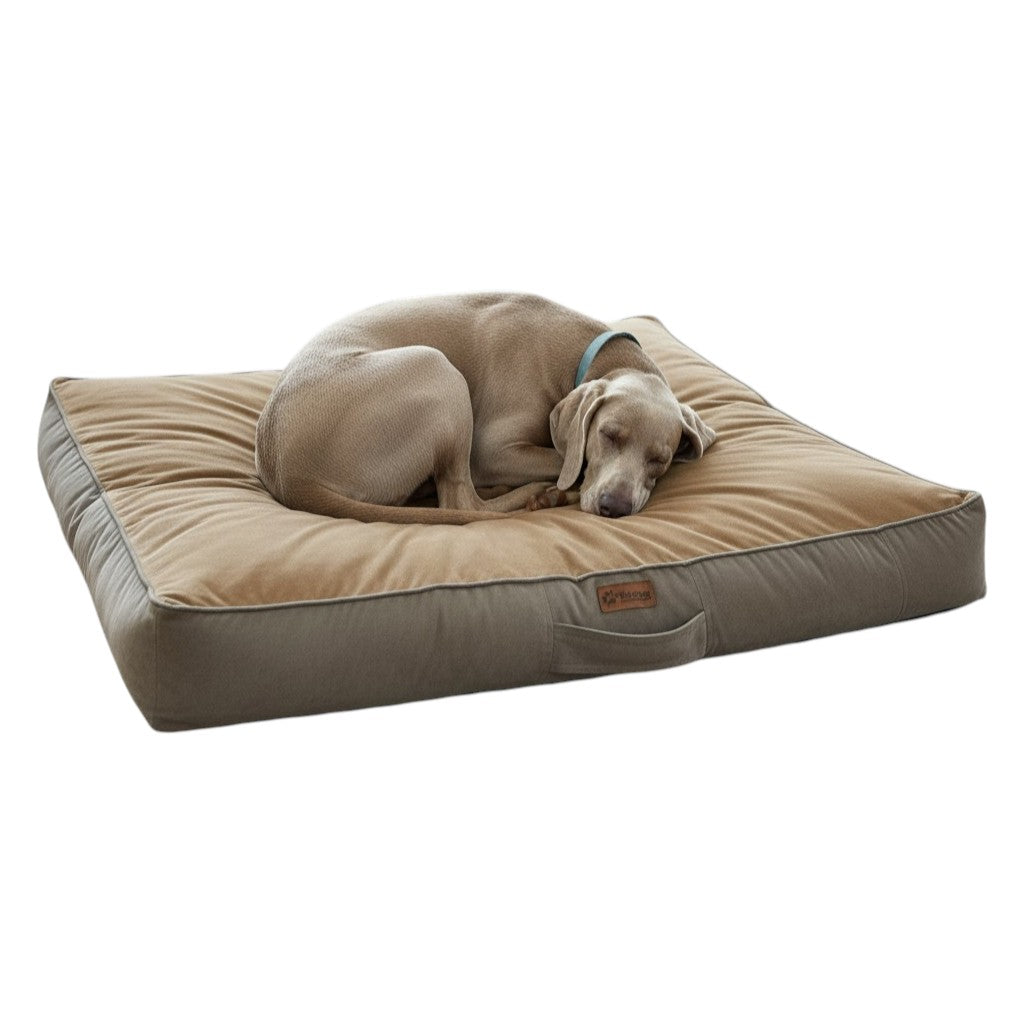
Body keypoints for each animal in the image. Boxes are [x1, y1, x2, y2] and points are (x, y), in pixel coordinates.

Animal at [255, 293, 716, 525]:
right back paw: (540, 495)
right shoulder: (493, 449)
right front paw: (562, 481)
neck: (591, 353)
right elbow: (569, 460)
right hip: (438, 370)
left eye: (660, 460)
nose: (614, 508)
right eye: (608, 435)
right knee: (461, 502)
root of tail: (287, 473)